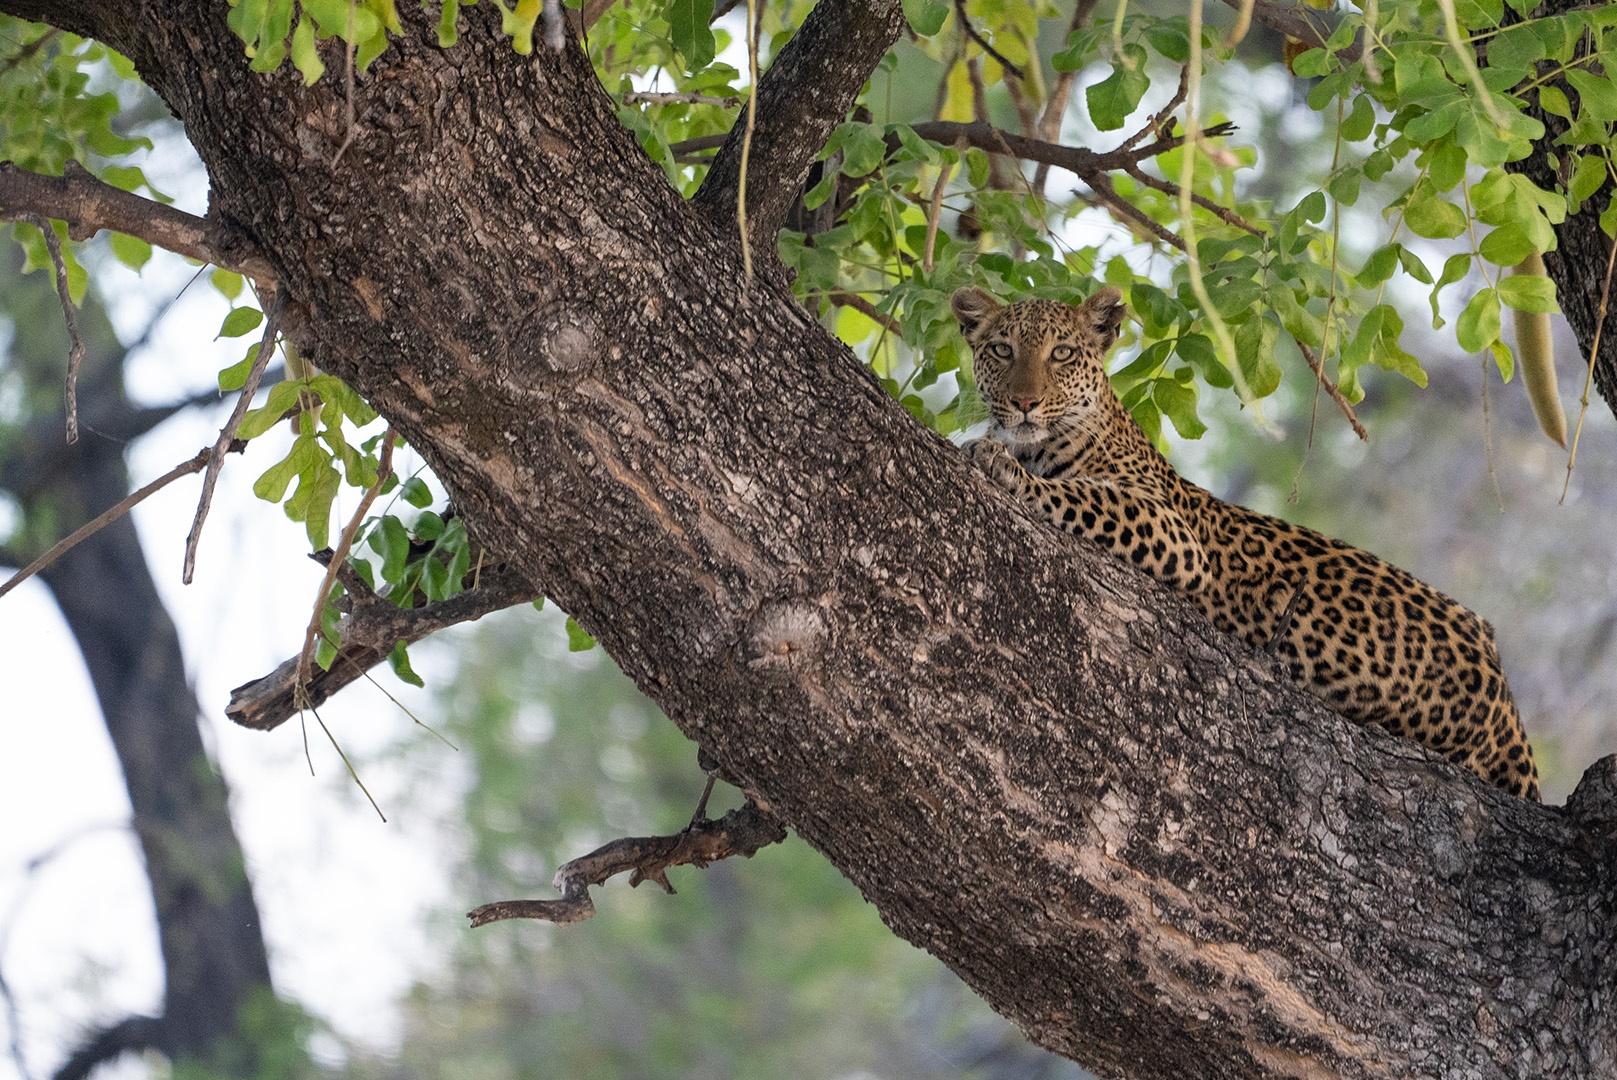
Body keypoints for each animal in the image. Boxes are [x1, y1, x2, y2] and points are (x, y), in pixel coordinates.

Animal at [950, 286, 1545, 801]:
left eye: (1063, 354)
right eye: (1002, 350)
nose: (1025, 402)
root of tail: (1508, 704)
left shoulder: (1172, 532)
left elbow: (1078, 494)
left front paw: (1001, 465)